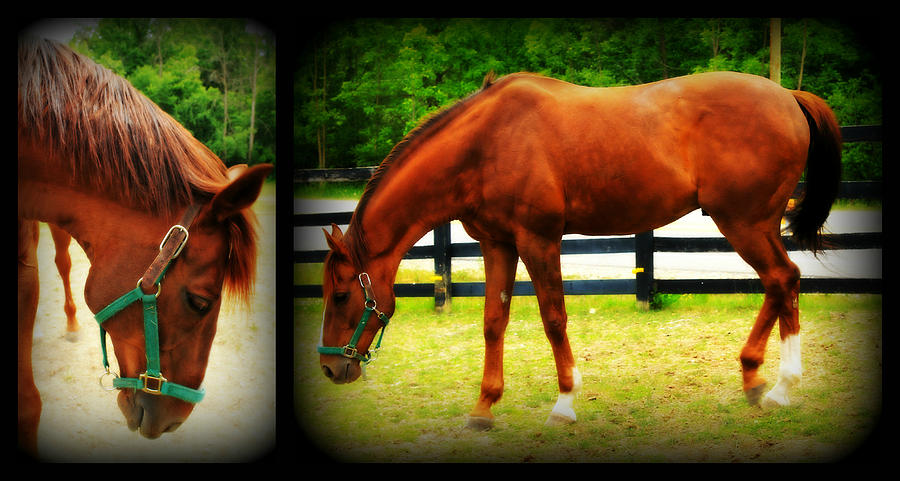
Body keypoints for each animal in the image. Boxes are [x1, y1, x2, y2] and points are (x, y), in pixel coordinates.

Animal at [318, 70, 844, 428]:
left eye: (341, 295)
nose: (328, 367)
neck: (486, 142)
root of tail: (788, 96)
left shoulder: (538, 240)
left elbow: (553, 318)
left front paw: (565, 403)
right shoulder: (497, 243)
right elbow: (493, 321)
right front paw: (484, 407)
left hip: (744, 224)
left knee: (782, 279)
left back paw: (780, 388)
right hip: (755, 226)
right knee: (782, 283)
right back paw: (756, 379)